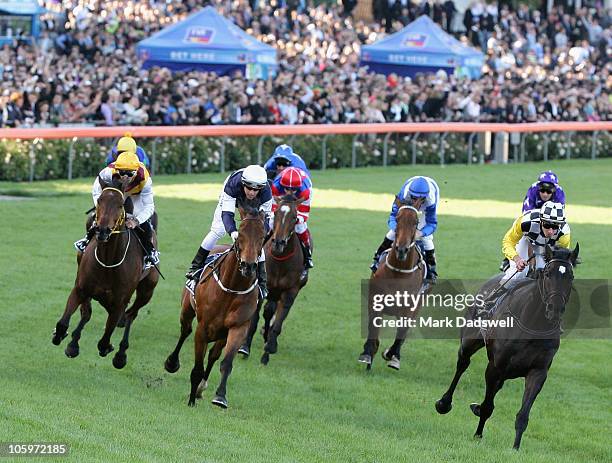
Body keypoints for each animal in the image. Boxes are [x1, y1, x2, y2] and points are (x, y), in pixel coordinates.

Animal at [51, 179, 159, 372]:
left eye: (121, 204)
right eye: (100, 200)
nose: (102, 230)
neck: (108, 261)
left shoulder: (119, 302)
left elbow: (104, 340)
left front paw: (110, 348)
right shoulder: (80, 288)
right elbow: (65, 323)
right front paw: (65, 339)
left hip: (147, 290)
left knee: (131, 315)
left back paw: (121, 355)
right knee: (88, 313)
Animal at [164, 205, 266, 408]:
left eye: (262, 236)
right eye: (241, 233)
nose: (249, 266)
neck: (232, 288)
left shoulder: (238, 327)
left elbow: (225, 362)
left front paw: (220, 397)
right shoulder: (203, 328)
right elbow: (197, 366)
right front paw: (190, 400)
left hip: (221, 334)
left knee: (213, 355)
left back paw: (201, 388)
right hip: (187, 310)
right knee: (185, 331)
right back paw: (172, 363)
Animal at [238, 195, 306, 366]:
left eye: (294, 217)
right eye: (276, 213)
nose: (278, 243)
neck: (280, 260)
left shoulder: (290, 292)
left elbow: (278, 322)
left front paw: (269, 349)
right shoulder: (261, 289)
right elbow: (254, 319)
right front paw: (244, 347)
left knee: (271, 312)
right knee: (268, 311)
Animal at [358, 202, 426, 374]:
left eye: (415, 222)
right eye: (397, 219)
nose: (401, 250)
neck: (398, 272)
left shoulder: (408, 308)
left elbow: (401, 332)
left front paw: (392, 356)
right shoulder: (375, 302)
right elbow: (373, 329)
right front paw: (367, 354)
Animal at [436, 246, 580, 450]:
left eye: (570, 276)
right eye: (548, 273)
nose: (555, 308)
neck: (533, 323)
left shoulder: (538, 371)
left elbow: (523, 415)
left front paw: (515, 448)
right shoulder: (495, 366)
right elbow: (488, 406)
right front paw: (478, 434)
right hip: (470, 341)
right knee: (462, 364)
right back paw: (444, 403)